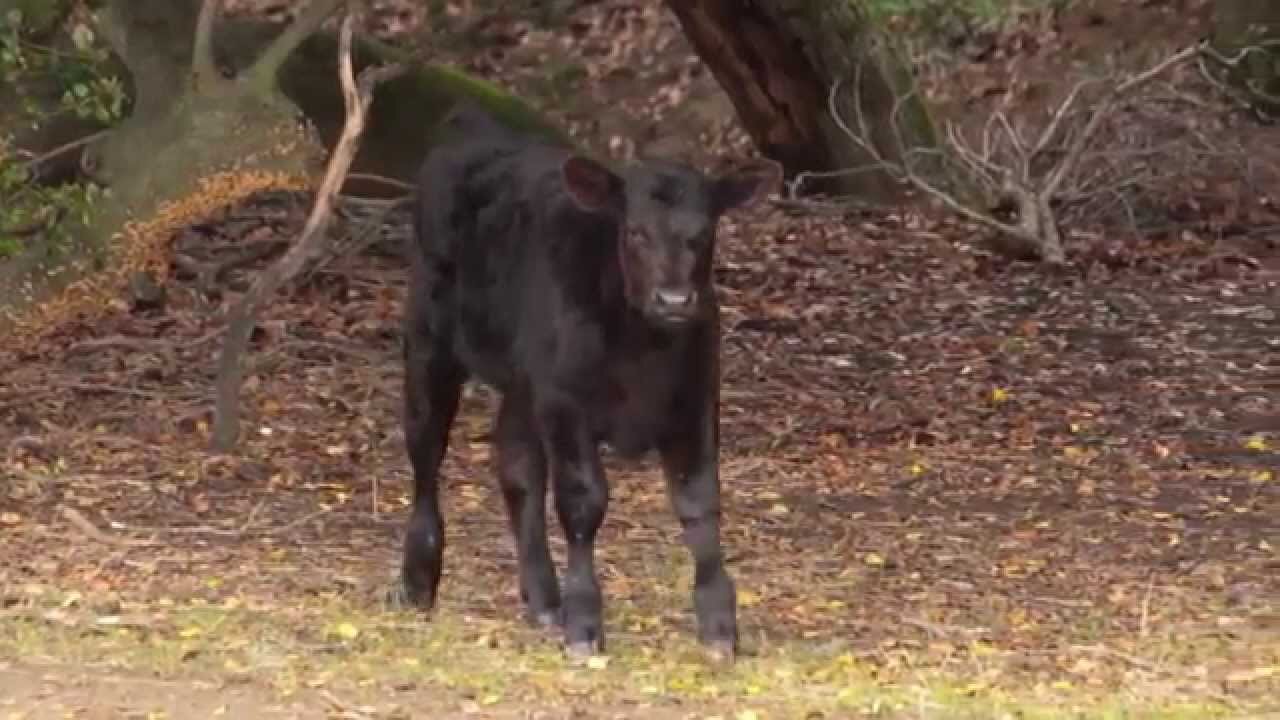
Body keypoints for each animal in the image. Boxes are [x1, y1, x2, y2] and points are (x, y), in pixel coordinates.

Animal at [396, 103, 778, 661]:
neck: (644, 348)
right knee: (426, 453)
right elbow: (582, 501)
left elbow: (700, 504)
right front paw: (584, 622)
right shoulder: (566, 400)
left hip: (523, 382)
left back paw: (543, 600)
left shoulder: (695, 397)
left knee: (517, 468)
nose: (674, 299)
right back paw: (417, 582)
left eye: (703, 233)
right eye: (636, 232)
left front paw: (719, 626)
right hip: (430, 339)